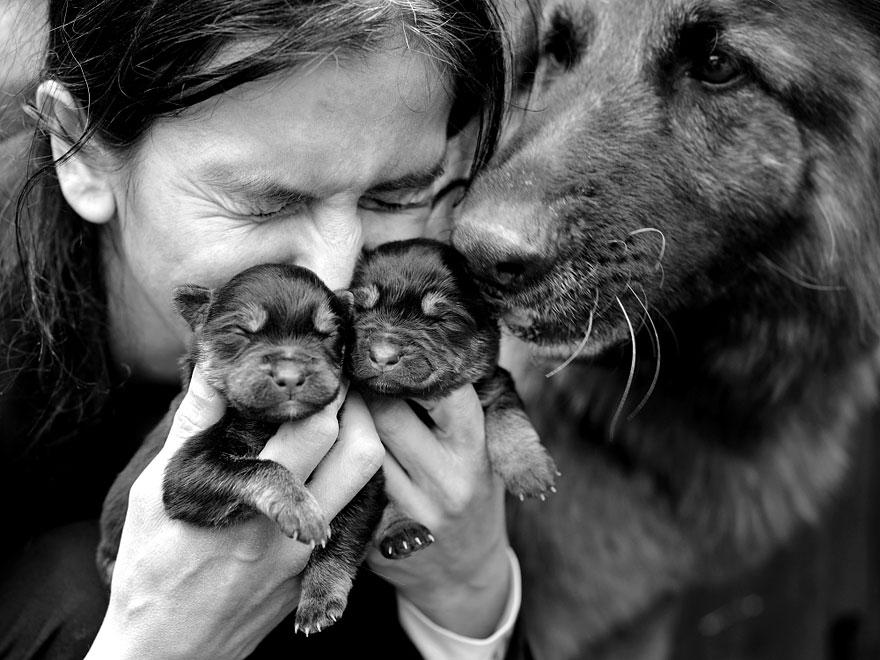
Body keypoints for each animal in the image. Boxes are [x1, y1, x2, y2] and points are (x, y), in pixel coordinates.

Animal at [97, 262, 384, 636]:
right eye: (241, 331)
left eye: (328, 335)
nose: (291, 376)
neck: (269, 423)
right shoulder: (185, 470)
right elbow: (263, 467)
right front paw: (301, 508)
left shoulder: (367, 479)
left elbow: (345, 532)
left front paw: (320, 598)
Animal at [348, 237, 552, 556]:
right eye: (358, 308)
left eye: (442, 319)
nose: (382, 356)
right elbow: (383, 496)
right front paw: (401, 529)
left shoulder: (494, 384)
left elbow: (509, 417)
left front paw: (529, 468)